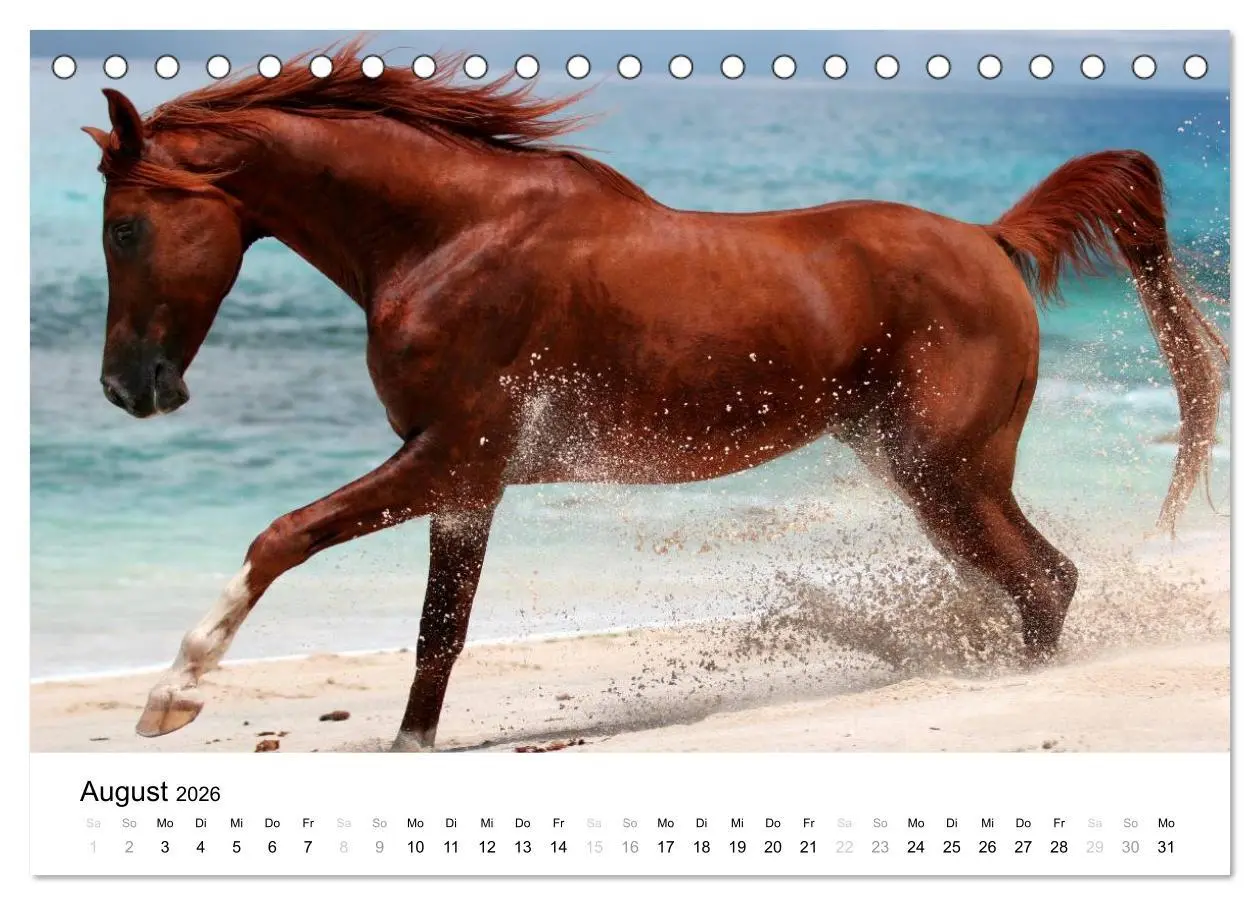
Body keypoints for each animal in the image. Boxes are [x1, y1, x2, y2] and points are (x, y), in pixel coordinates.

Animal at [81, 44, 1227, 751]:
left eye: (126, 228)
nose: (126, 388)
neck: (448, 237)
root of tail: (993, 238)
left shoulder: (452, 455)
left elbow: (282, 534)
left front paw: (171, 694)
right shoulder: (467, 484)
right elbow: (437, 634)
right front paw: (409, 742)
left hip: (945, 468)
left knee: (1045, 579)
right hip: (927, 471)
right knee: (1035, 580)